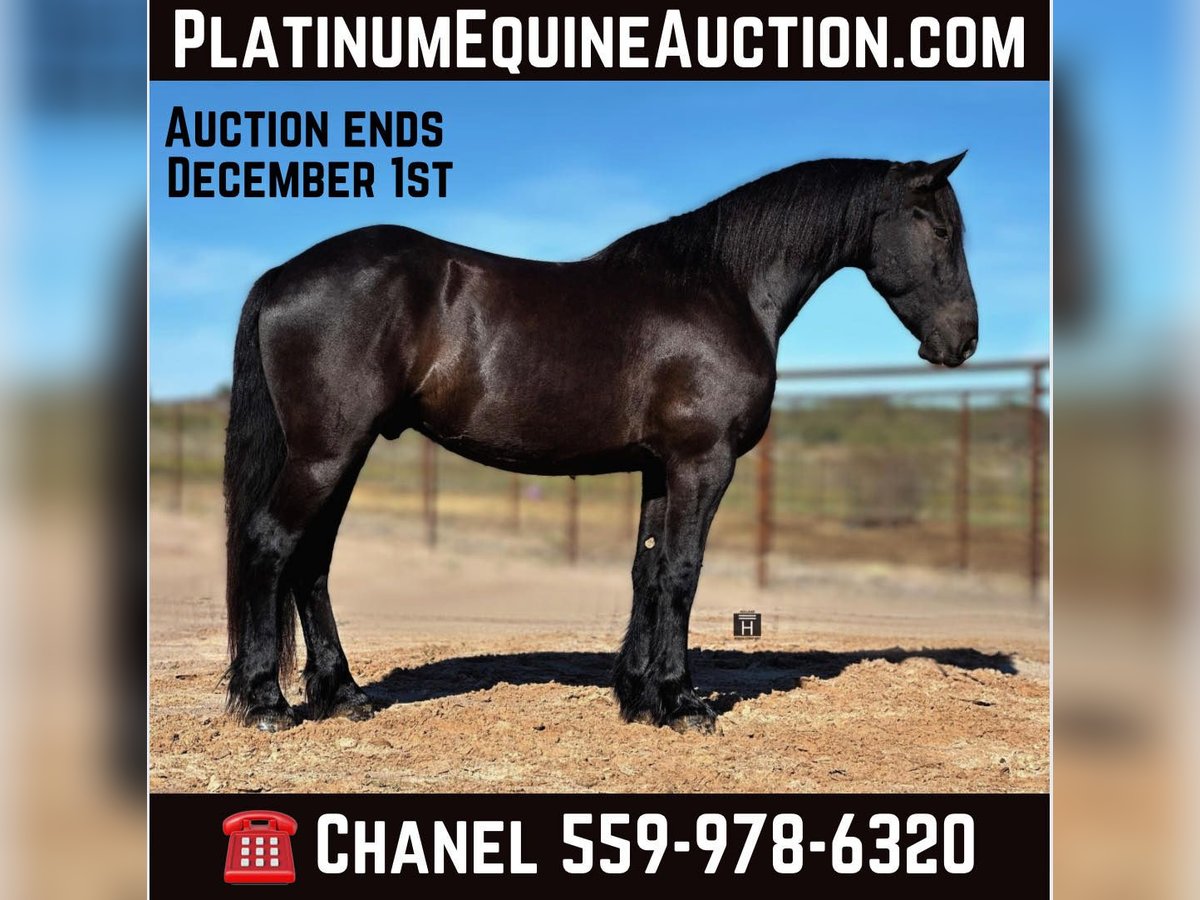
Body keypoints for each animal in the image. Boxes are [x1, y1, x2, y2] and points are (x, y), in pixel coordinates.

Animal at [223, 152, 978, 733]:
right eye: (940, 230)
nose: (962, 341)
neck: (722, 288)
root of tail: (282, 276)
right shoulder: (703, 463)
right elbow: (682, 571)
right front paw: (682, 702)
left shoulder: (661, 469)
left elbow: (648, 571)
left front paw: (640, 697)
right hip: (327, 453)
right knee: (271, 544)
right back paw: (266, 703)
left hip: (342, 454)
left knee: (311, 561)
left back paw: (343, 694)